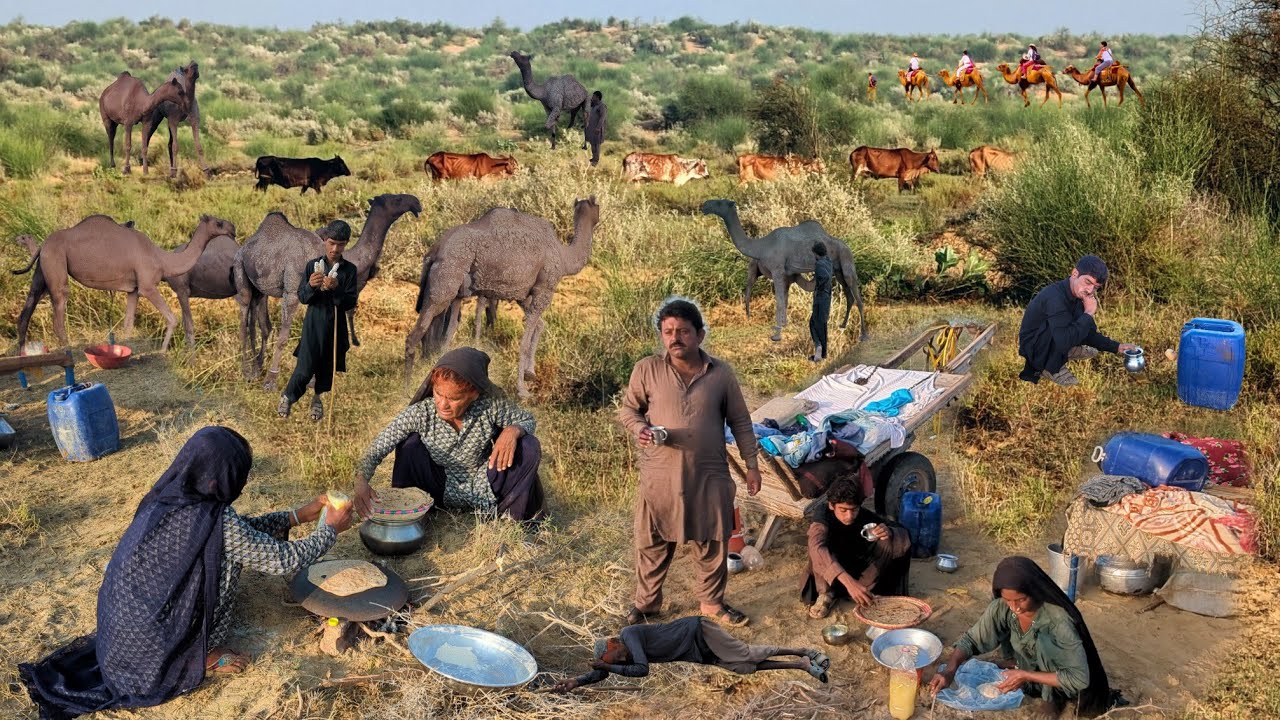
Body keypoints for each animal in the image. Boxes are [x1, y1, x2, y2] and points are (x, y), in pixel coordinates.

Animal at [14, 215, 235, 352]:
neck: (163, 259)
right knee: (58, 313)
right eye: (219, 223)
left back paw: (23, 356)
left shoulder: (133, 290)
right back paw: (68, 352)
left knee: (27, 310)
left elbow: (128, 324)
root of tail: (42, 245)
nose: (233, 229)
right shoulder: (147, 286)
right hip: (56, 262)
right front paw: (162, 351)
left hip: (41, 270)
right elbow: (173, 318)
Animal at [233, 194, 420, 389]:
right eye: (396, 199)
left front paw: (311, 381)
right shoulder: (291, 292)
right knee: (243, 320)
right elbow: (284, 337)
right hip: (240, 269)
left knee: (259, 323)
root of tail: (245, 246)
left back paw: (256, 369)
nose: (415, 202)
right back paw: (246, 372)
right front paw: (271, 381)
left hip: (259, 287)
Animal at [405, 197, 600, 399]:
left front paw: (530, 373)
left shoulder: (523, 294)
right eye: (597, 206)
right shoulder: (544, 289)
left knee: (443, 334)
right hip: (445, 284)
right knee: (416, 335)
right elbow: (525, 341)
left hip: (452, 290)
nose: (598, 217)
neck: (564, 256)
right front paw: (522, 390)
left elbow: (540, 325)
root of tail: (434, 251)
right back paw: (407, 389)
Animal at [700, 199, 867, 343]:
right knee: (849, 295)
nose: (704, 205)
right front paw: (784, 325)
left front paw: (776, 334)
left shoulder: (778, 271)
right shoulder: (786, 275)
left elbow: (780, 301)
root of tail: (847, 246)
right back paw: (843, 325)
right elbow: (785, 299)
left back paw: (863, 335)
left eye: (720, 202)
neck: (762, 246)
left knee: (857, 295)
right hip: (838, 271)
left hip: (846, 259)